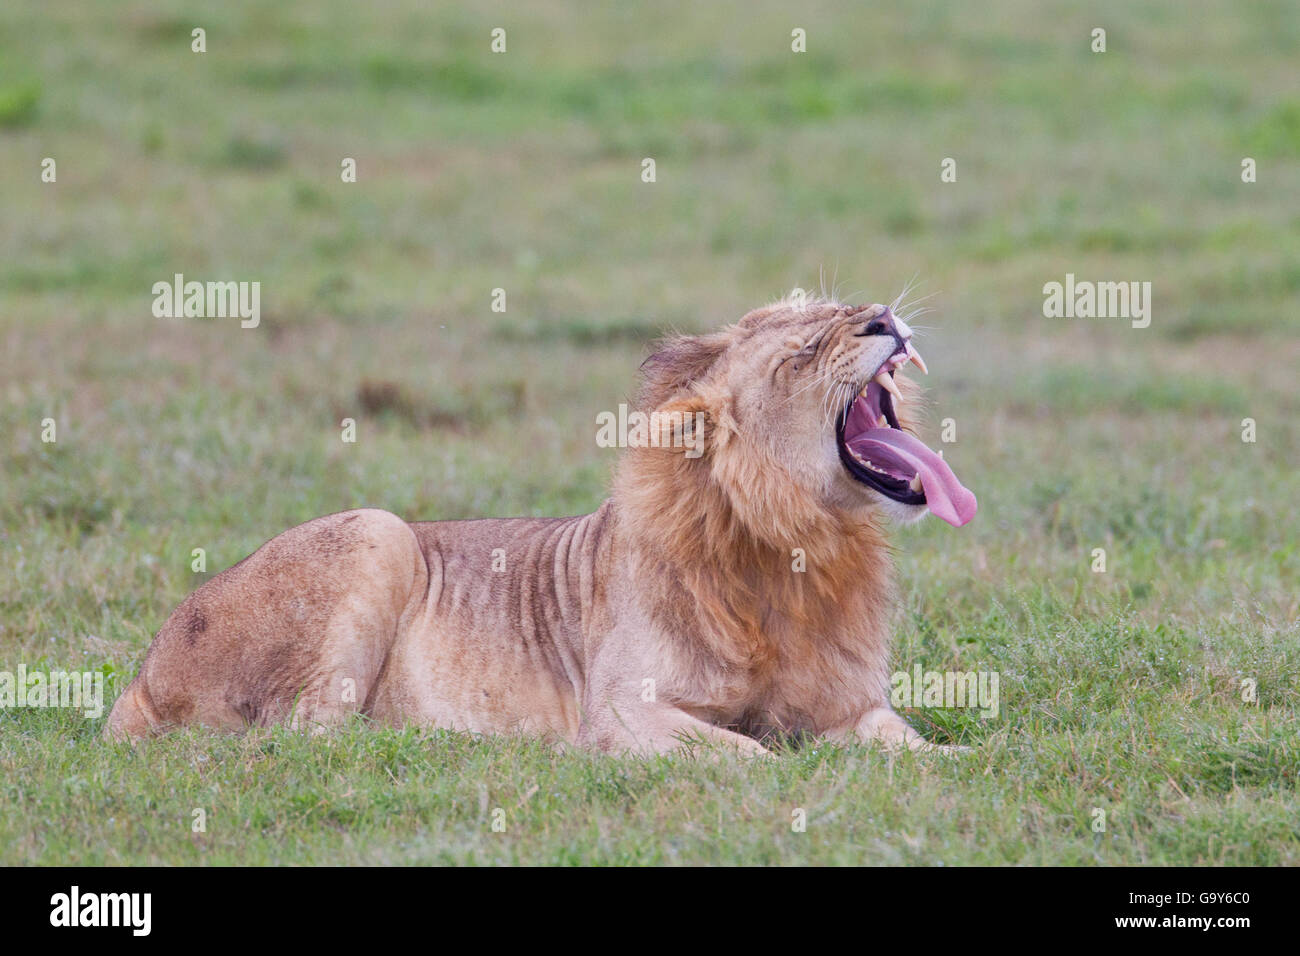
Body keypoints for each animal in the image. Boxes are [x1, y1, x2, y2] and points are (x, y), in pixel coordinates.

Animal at [104, 299, 977, 754]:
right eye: (803, 350)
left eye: (842, 308)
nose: (884, 316)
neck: (798, 547)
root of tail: (138, 679)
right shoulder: (621, 711)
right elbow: (749, 752)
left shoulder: (853, 709)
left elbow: (915, 749)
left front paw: (955, 763)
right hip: (379, 533)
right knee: (307, 736)